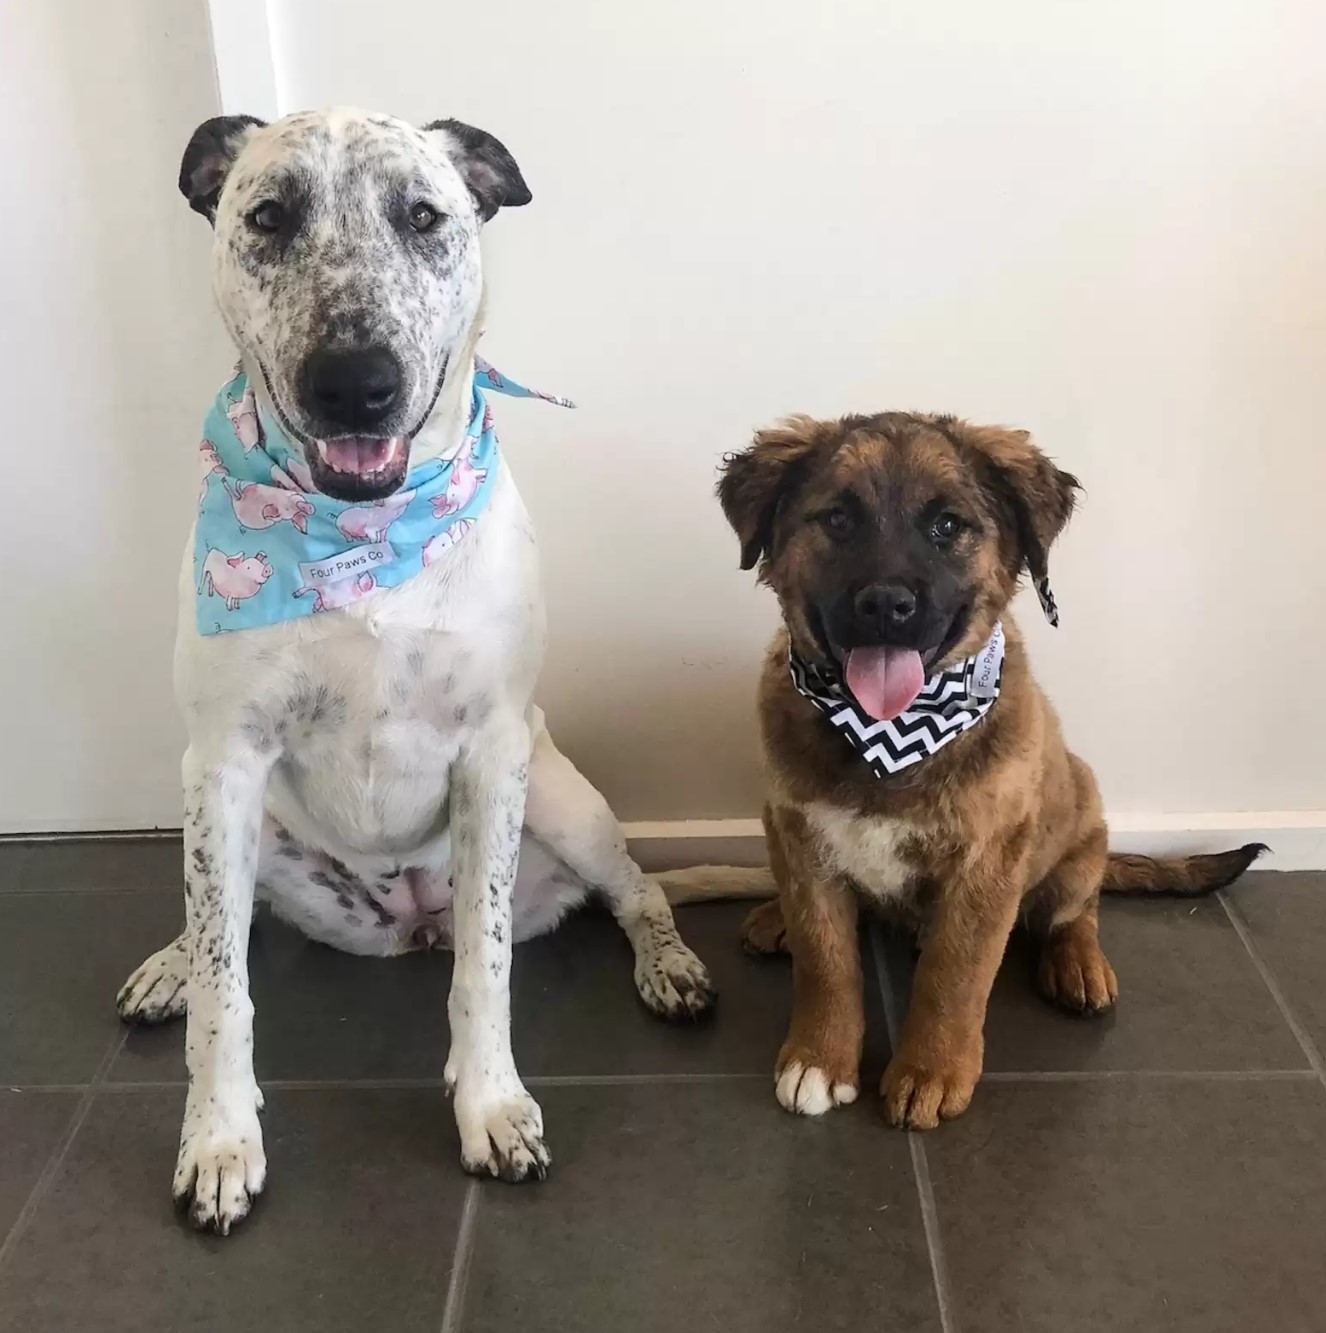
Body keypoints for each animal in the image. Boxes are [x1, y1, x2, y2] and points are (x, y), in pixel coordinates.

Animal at [116, 109, 735, 1231]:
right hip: (244, 825)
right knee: (226, 916)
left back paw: (669, 965)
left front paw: (491, 1107)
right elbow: (227, 986)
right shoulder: (221, 762)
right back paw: (169, 963)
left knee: (637, 893)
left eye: (422, 216)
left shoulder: (492, 753)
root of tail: (409, 924)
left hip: (564, 800)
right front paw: (219, 1140)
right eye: (268, 216)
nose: (355, 382)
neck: (360, 534)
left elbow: (486, 968)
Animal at [719, 410, 1258, 1130]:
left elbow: (955, 973)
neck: (887, 733)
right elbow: (824, 958)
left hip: (1080, 818)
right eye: (836, 518)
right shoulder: (801, 836)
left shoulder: (989, 860)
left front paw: (930, 1071)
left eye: (948, 526)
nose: (885, 604)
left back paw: (1079, 965)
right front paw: (820, 1058)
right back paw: (774, 916)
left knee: (1076, 910)